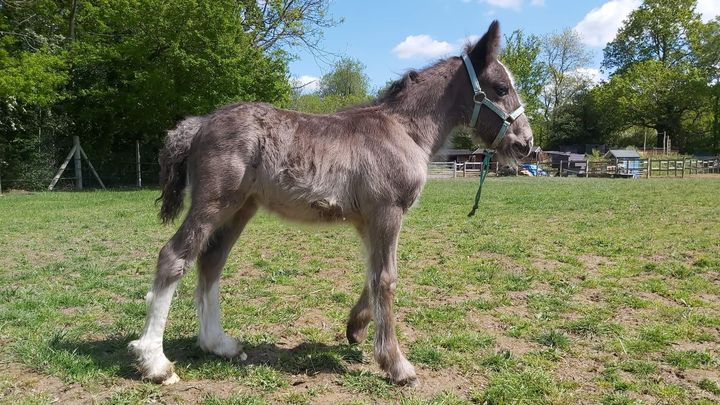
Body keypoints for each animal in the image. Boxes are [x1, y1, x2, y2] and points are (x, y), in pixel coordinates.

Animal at [129, 20, 533, 387]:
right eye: (500, 88)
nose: (525, 143)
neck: (404, 129)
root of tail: (198, 124)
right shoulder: (387, 212)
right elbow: (386, 278)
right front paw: (397, 365)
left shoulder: (369, 220)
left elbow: (372, 274)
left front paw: (356, 328)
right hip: (214, 202)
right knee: (174, 257)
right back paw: (155, 362)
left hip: (241, 208)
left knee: (211, 261)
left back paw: (219, 344)